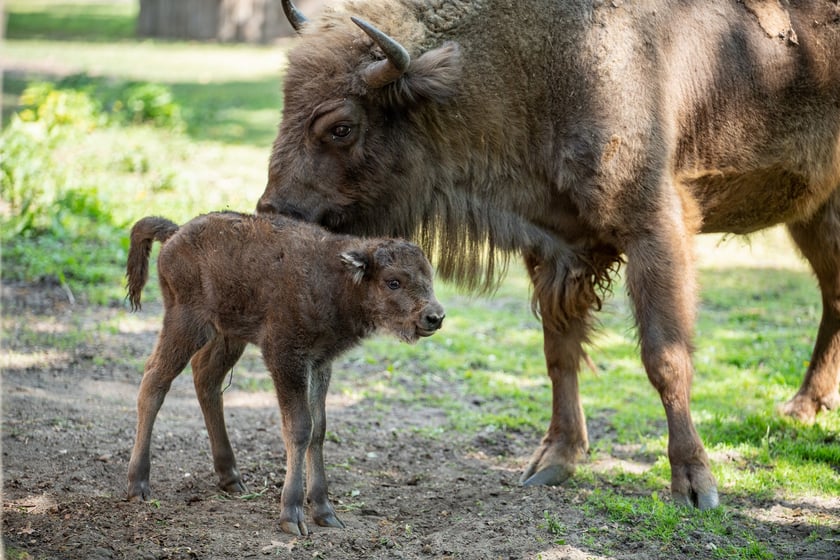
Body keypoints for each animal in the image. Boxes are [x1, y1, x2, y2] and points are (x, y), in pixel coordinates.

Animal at [124, 210, 446, 532]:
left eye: (428, 276)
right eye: (393, 282)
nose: (435, 316)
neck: (338, 280)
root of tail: (175, 233)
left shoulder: (320, 363)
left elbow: (319, 428)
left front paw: (325, 512)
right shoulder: (286, 359)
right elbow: (300, 428)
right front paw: (292, 515)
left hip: (228, 335)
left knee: (206, 378)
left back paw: (231, 478)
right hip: (187, 323)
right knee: (154, 381)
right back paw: (138, 485)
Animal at [258, 0, 840, 510]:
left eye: (341, 127)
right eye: (284, 104)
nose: (271, 210)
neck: (539, 66)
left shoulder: (655, 230)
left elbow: (665, 357)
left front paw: (695, 486)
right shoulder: (554, 248)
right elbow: (559, 354)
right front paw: (553, 462)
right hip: (815, 213)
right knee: (833, 296)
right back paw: (804, 408)